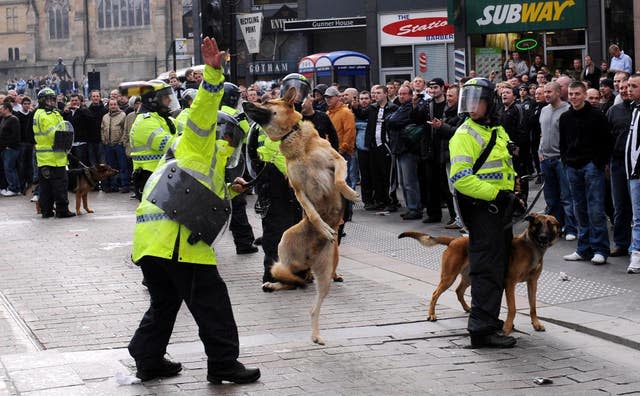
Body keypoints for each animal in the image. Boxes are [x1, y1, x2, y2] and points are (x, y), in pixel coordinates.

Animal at [242, 86, 360, 344]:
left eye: (267, 101)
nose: (244, 102)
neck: (293, 137)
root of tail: (309, 262)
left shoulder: (338, 160)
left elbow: (339, 179)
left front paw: (350, 193)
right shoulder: (299, 190)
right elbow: (313, 213)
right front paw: (323, 227)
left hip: (324, 276)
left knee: (310, 302)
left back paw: (316, 334)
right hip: (282, 256)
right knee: (296, 285)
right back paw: (274, 287)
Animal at [400, 215, 560, 336]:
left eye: (550, 224)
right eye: (537, 224)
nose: (543, 237)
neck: (531, 247)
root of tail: (454, 240)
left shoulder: (532, 283)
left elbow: (533, 306)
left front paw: (536, 323)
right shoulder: (510, 283)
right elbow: (513, 307)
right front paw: (508, 327)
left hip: (470, 277)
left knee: (459, 290)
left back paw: (467, 308)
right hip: (449, 277)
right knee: (435, 293)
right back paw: (432, 314)